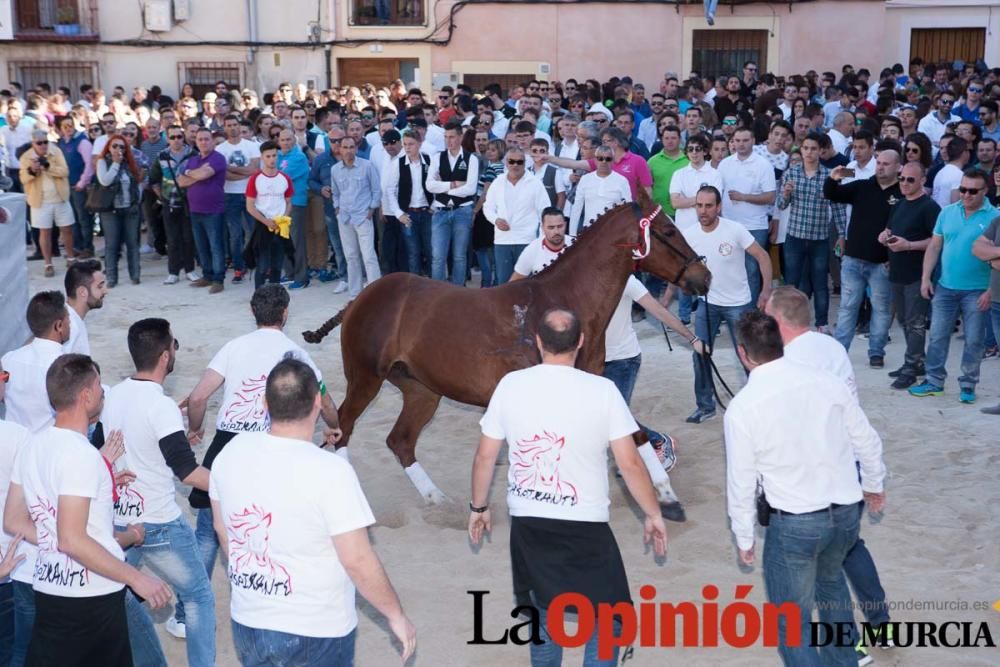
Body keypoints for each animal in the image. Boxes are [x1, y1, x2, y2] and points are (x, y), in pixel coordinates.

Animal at [304, 190, 712, 520]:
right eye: (668, 231)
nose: (703, 277)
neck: (565, 305)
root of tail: (361, 296)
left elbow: (633, 433)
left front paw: (668, 499)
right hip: (366, 378)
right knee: (342, 429)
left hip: (422, 389)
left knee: (399, 440)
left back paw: (439, 500)